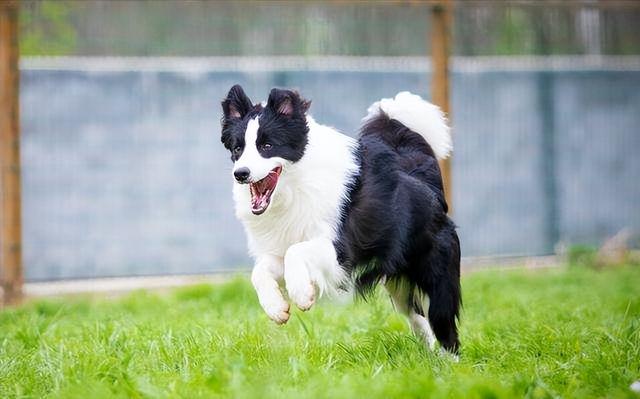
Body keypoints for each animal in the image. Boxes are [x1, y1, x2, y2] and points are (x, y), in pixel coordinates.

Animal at [220, 86, 460, 354]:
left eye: (267, 145)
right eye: (237, 149)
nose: (241, 174)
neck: (296, 186)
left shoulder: (340, 250)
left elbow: (296, 252)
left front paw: (302, 294)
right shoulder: (284, 243)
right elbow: (260, 270)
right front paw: (276, 308)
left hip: (436, 271)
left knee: (444, 323)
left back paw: (449, 362)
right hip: (399, 282)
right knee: (419, 318)